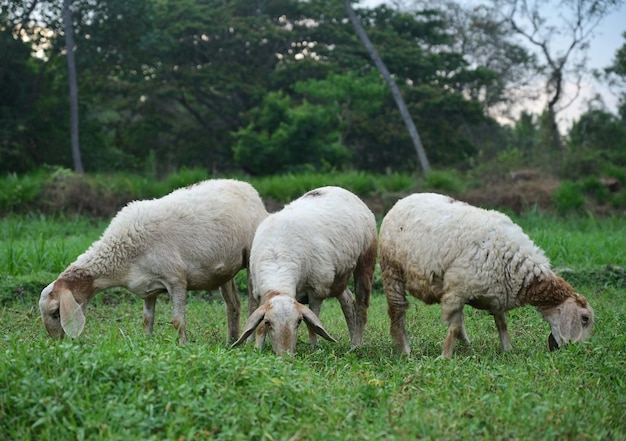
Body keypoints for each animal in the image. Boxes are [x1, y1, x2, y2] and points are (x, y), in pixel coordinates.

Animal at [36, 179, 266, 344]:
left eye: (56, 312)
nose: (58, 343)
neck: (123, 259)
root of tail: (247, 187)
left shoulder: (175, 278)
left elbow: (178, 321)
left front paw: (182, 346)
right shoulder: (148, 288)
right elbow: (147, 320)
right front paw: (147, 343)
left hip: (250, 257)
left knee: (252, 304)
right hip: (224, 270)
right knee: (233, 305)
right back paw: (231, 343)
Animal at [229, 185, 376, 354]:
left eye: (299, 321)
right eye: (268, 322)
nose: (285, 355)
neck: (277, 259)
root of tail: (341, 189)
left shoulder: (317, 290)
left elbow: (312, 324)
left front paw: (313, 348)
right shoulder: (257, 291)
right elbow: (256, 321)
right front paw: (255, 347)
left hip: (365, 260)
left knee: (361, 304)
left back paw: (356, 344)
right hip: (338, 276)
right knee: (347, 301)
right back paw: (352, 342)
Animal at [378, 192, 592, 358]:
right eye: (585, 318)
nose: (575, 352)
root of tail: (403, 200)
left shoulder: (497, 295)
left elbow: (501, 324)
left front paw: (508, 350)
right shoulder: (457, 290)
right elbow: (454, 328)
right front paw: (445, 356)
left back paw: (467, 345)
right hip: (392, 270)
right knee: (398, 310)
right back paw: (405, 350)